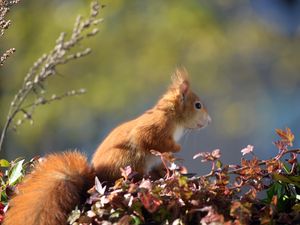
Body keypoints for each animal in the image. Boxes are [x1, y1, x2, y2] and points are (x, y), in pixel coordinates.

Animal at [2, 68, 211, 225]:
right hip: (130, 163)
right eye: (198, 105)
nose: (209, 121)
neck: (173, 117)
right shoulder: (155, 127)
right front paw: (176, 149)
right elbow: (148, 139)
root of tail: (94, 179)